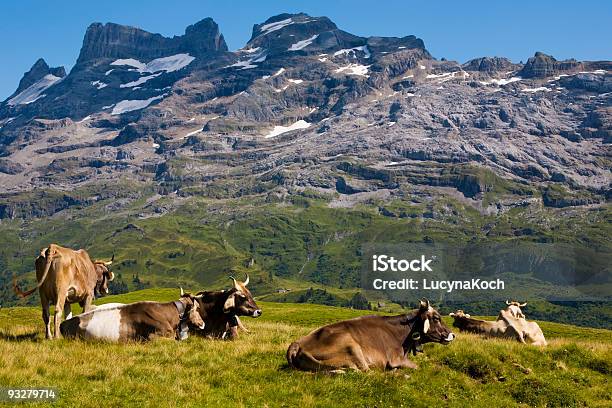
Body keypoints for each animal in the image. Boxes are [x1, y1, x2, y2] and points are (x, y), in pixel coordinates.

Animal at [284, 298, 452, 372]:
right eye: (436, 318)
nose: (452, 335)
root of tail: (296, 344)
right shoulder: (395, 358)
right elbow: (417, 366)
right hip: (351, 346)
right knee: (367, 372)